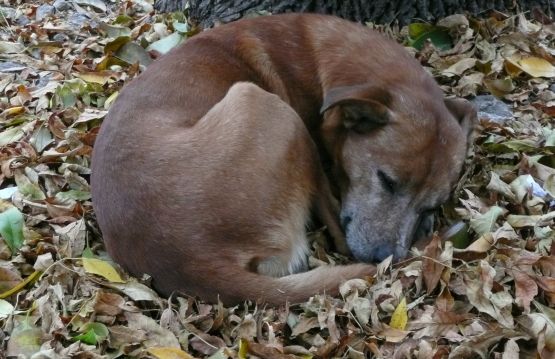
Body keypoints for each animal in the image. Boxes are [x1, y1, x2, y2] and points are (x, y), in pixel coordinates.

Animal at [91, 14, 478, 306]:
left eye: (430, 206)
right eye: (386, 180)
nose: (383, 255)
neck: (323, 59)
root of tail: (190, 261)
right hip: (271, 107)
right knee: (336, 229)